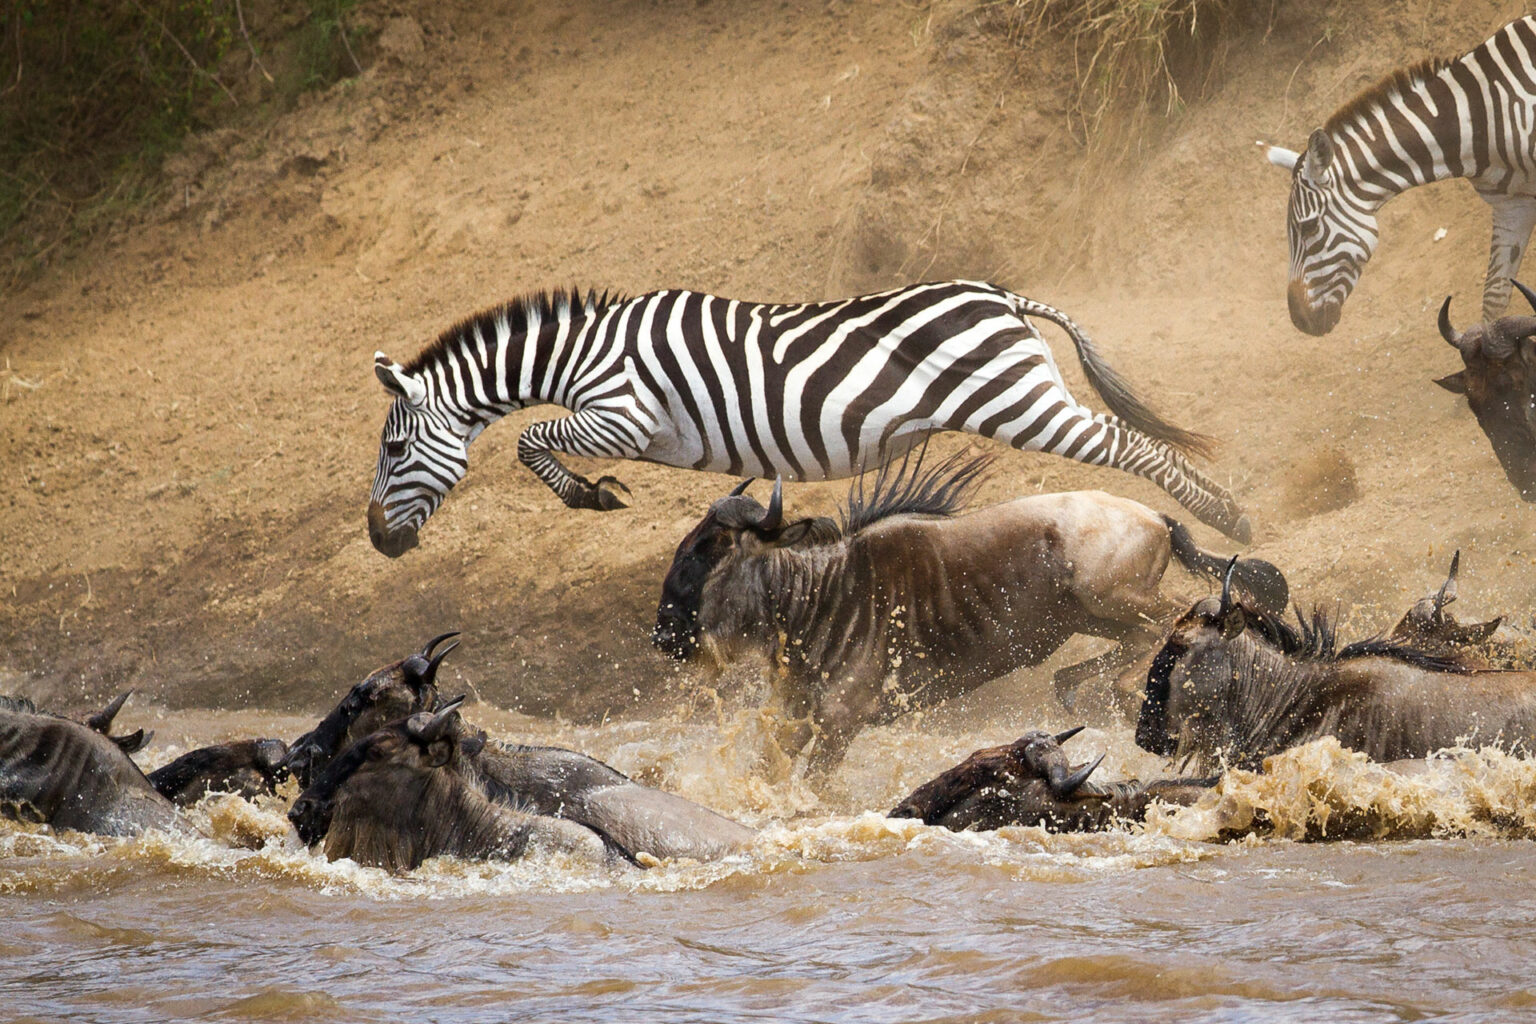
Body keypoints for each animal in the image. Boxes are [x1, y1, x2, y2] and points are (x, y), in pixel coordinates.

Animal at [368, 277, 1247, 552]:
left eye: (396, 450)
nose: (378, 542)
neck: (584, 352)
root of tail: (1001, 295)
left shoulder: (625, 416)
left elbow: (530, 436)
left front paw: (589, 494)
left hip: (1018, 402)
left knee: (1132, 447)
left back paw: (1230, 516)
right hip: (1022, 396)